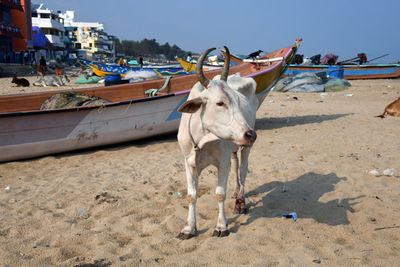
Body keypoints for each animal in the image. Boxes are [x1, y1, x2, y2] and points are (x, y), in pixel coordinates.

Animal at [177, 47, 258, 240]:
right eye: (220, 103)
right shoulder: (188, 163)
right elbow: (191, 196)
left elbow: (220, 194)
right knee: (236, 165)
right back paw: (236, 192)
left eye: (237, 101)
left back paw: (240, 201)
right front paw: (189, 228)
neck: (201, 139)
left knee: (243, 170)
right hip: (234, 147)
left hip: (246, 147)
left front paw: (221, 226)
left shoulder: (222, 162)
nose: (250, 134)